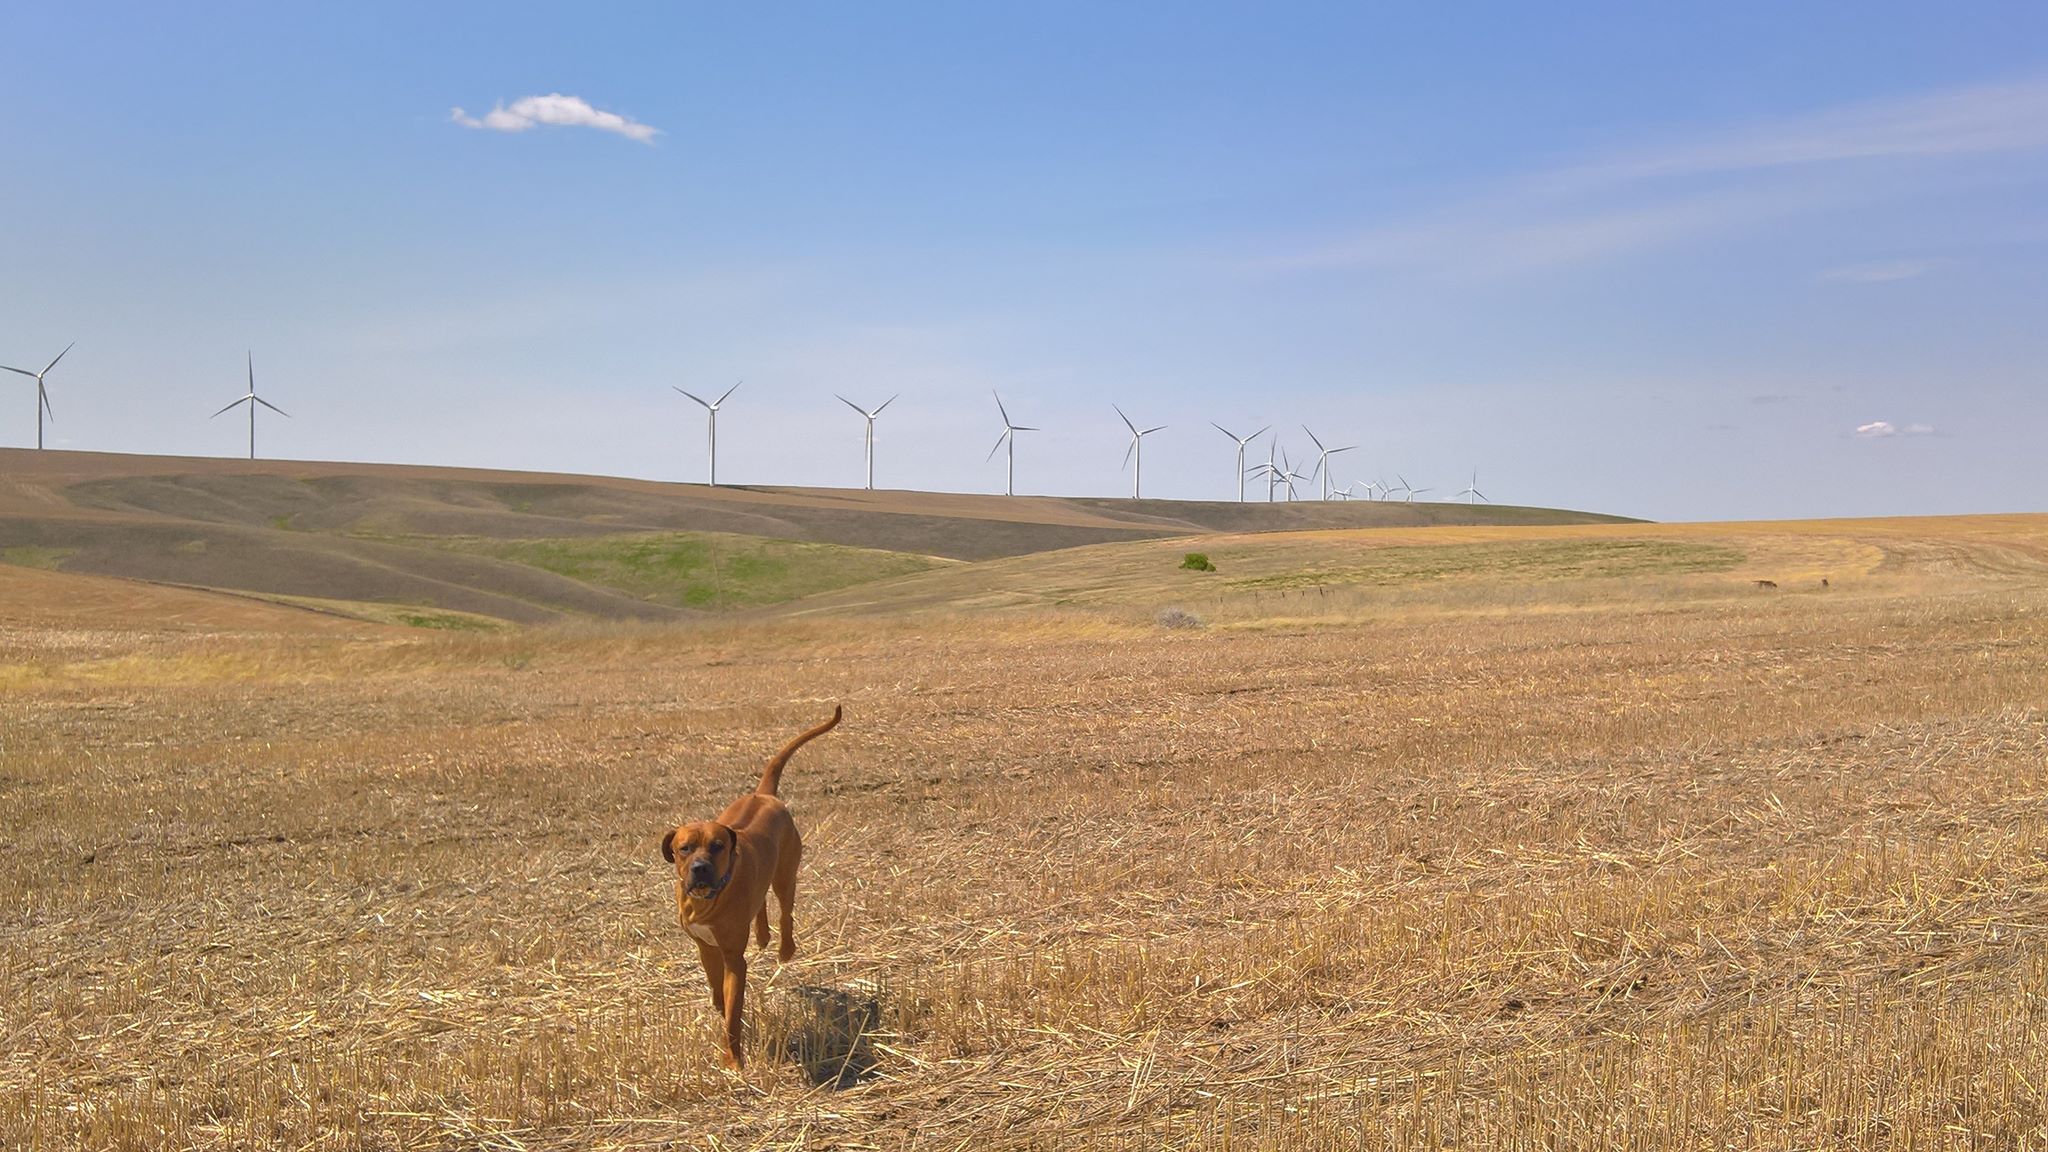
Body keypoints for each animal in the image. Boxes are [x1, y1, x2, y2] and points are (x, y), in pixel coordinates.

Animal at [663, 701, 839, 1065]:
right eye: (684, 848)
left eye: (717, 846)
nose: (700, 868)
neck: (707, 900)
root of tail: (764, 794)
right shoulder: (704, 945)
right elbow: (717, 987)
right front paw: (718, 1005)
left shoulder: (733, 958)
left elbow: (733, 1010)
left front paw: (733, 1058)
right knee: (760, 904)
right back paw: (762, 936)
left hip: (786, 873)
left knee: (785, 911)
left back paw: (785, 949)